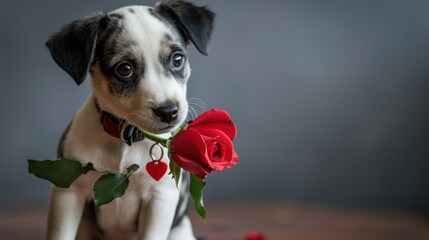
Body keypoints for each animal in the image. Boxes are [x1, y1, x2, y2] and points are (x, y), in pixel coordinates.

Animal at [44, 0, 214, 239]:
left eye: (177, 59)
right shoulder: (67, 191)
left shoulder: (160, 198)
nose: (169, 111)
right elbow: (59, 233)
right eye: (125, 69)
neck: (126, 137)